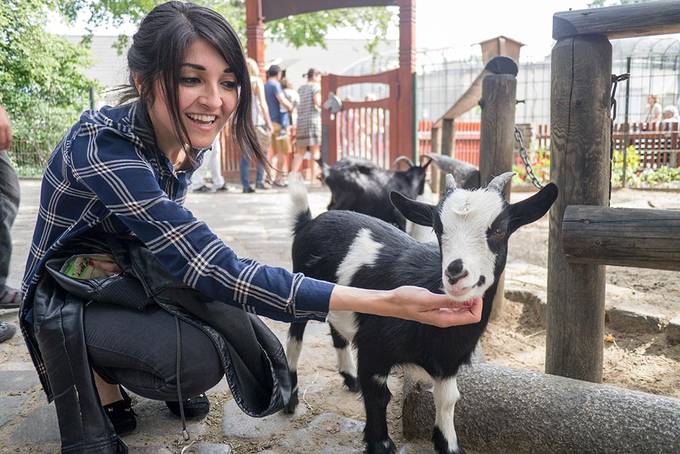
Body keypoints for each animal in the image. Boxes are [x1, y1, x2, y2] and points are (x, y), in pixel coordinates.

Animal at [286, 172, 556, 452]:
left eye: (499, 230)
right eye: (438, 228)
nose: (455, 272)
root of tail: (309, 222)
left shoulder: (448, 362)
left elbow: (448, 400)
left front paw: (448, 444)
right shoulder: (374, 348)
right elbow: (379, 396)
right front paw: (380, 444)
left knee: (337, 331)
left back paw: (350, 380)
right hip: (301, 289)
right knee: (295, 340)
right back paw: (291, 399)